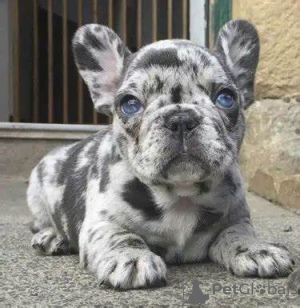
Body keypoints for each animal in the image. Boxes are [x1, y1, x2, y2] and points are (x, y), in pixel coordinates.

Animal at [27, 19, 294, 288]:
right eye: (130, 104)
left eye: (226, 98)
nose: (181, 118)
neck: (182, 195)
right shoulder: (101, 222)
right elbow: (119, 235)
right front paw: (131, 257)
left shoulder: (237, 217)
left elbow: (239, 233)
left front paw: (257, 249)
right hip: (37, 192)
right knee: (41, 223)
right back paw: (53, 237)